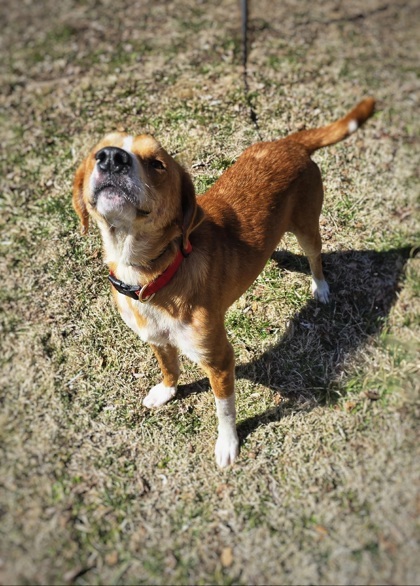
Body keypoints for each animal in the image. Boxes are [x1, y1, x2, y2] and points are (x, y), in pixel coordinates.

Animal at [74, 97, 376, 466]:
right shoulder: (155, 339)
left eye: (157, 164)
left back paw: (320, 287)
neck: (154, 274)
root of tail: (288, 143)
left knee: (316, 258)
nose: (112, 157)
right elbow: (169, 367)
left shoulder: (219, 359)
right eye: (96, 152)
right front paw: (167, 392)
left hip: (307, 227)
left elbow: (225, 410)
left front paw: (228, 444)